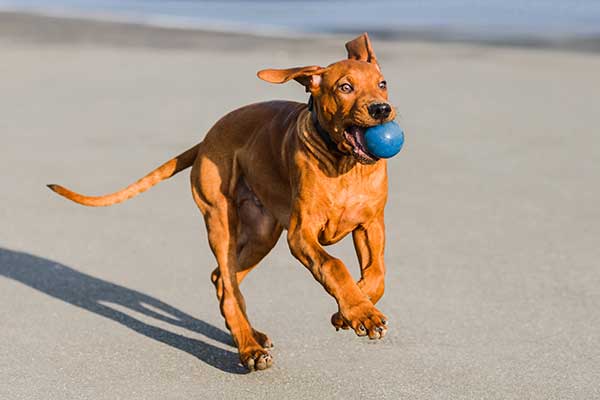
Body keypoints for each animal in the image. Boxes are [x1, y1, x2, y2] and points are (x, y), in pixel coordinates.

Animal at [49, 32, 396, 370]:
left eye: (382, 83)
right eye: (345, 88)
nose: (381, 110)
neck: (343, 164)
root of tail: (206, 139)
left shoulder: (371, 225)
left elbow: (377, 274)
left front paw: (352, 311)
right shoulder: (301, 234)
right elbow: (333, 265)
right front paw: (359, 311)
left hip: (261, 235)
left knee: (223, 278)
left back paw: (250, 335)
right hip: (221, 221)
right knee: (228, 287)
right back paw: (250, 349)